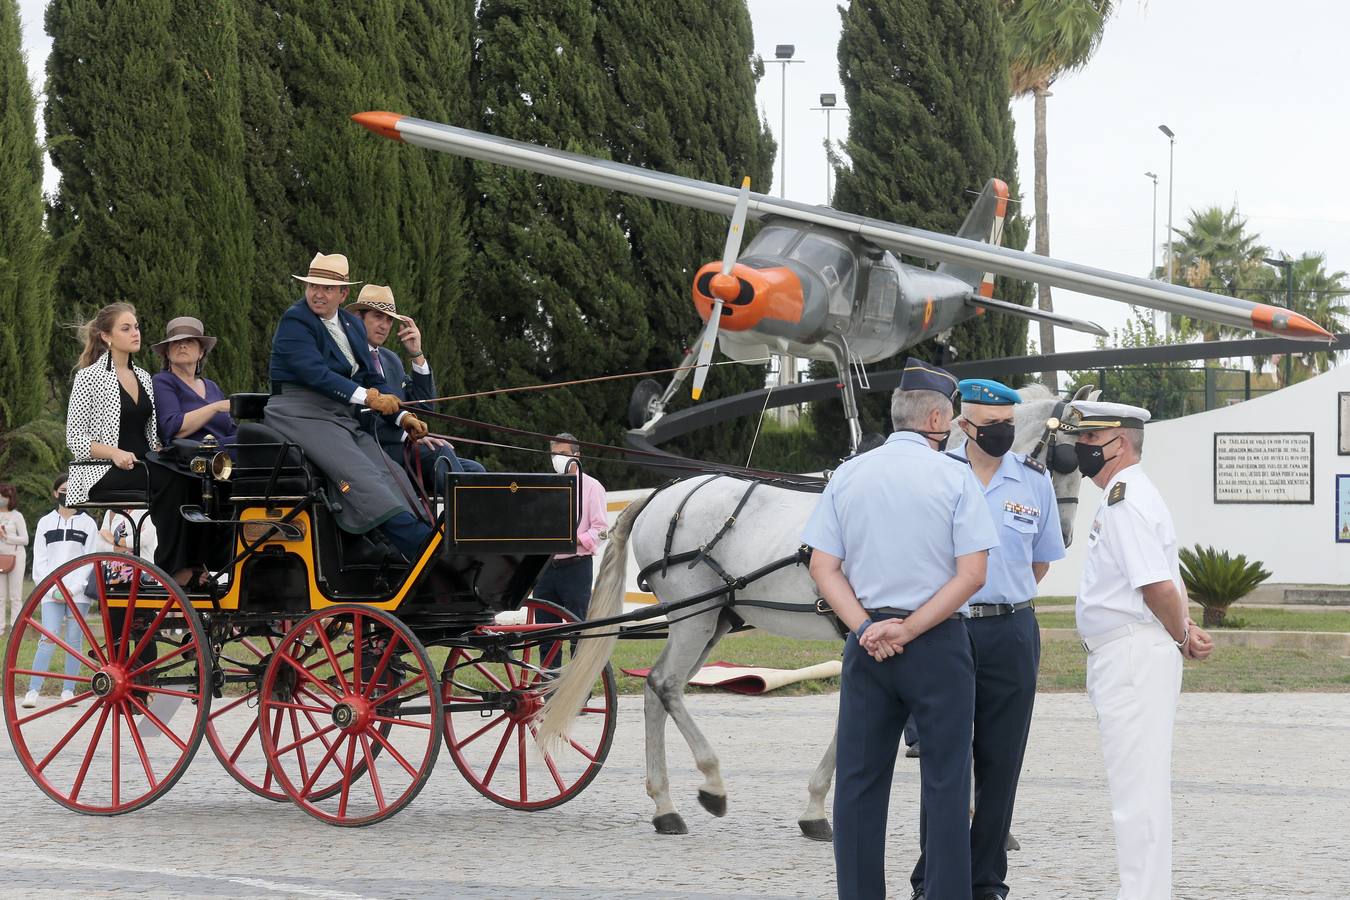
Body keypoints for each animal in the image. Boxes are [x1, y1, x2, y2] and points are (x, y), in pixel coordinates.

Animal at [534, 380, 1085, 836]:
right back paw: (710, 784)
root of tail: (659, 496)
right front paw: (820, 808)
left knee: (655, 690)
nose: (1062, 536)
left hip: (712, 618)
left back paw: (664, 805)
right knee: (666, 685)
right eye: (1061, 459)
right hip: (695, 616)